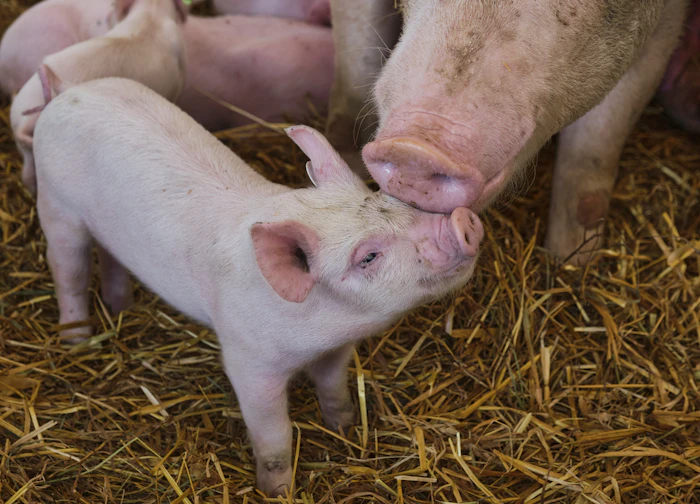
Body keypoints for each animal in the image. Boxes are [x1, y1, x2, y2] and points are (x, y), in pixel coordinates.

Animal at [33, 77, 483, 495]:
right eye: (368, 256)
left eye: (391, 201)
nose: (463, 221)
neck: (319, 330)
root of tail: (68, 92)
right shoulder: (247, 361)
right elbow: (274, 434)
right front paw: (278, 491)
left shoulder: (336, 350)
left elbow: (334, 386)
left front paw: (344, 427)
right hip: (56, 205)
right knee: (68, 270)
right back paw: (78, 340)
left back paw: (121, 307)